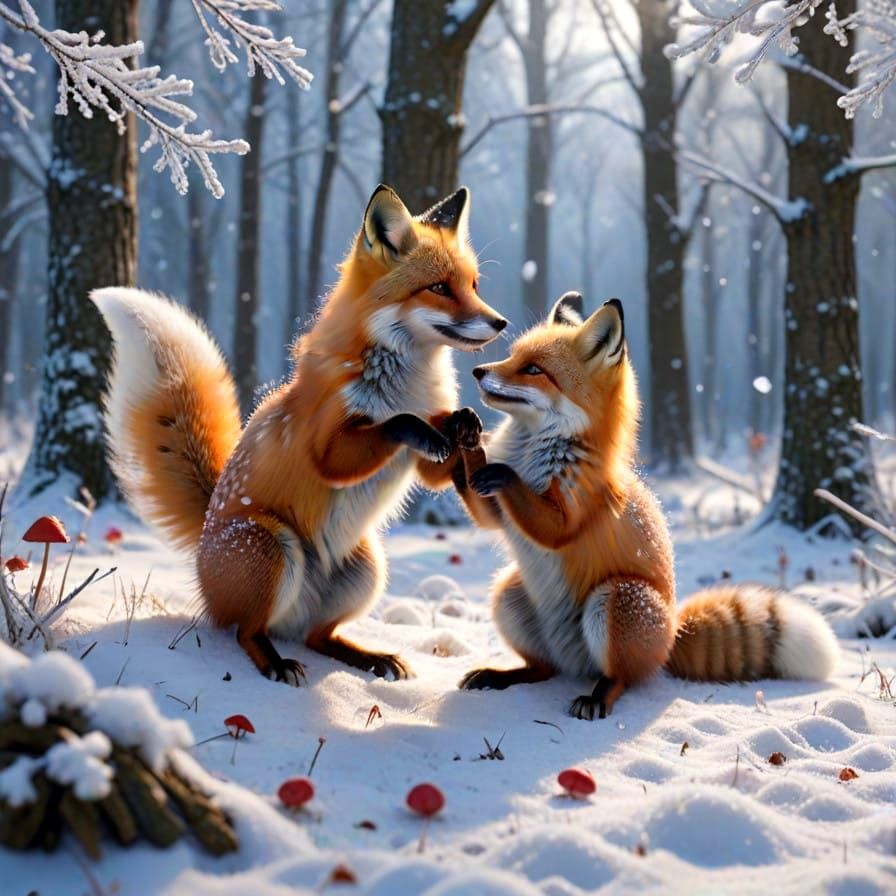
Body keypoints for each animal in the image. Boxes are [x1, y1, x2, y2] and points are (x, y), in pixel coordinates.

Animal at [92, 184, 506, 685]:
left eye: (474, 286)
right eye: (440, 288)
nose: (501, 322)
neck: (406, 384)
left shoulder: (425, 459)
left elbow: (438, 455)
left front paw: (466, 424)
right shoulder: (327, 446)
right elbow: (393, 426)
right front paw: (418, 424)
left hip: (367, 569)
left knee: (317, 637)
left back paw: (369, 657)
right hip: (268, 544)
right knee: (245, 632)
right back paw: (275, 663)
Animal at [451, 291, 838, 719]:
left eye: (534, 369)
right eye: (512, 357)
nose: (478, 372)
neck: (538, 451)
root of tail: (673, 635)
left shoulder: (571, 514)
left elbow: (545, 520)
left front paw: (502, 471)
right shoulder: (496, 513)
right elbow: (482, 504)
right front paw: (464, 436)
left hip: (619, 598)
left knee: (621, 677)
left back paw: (598, 696)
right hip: (508, 593)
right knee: (542, 669)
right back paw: (501, 675)